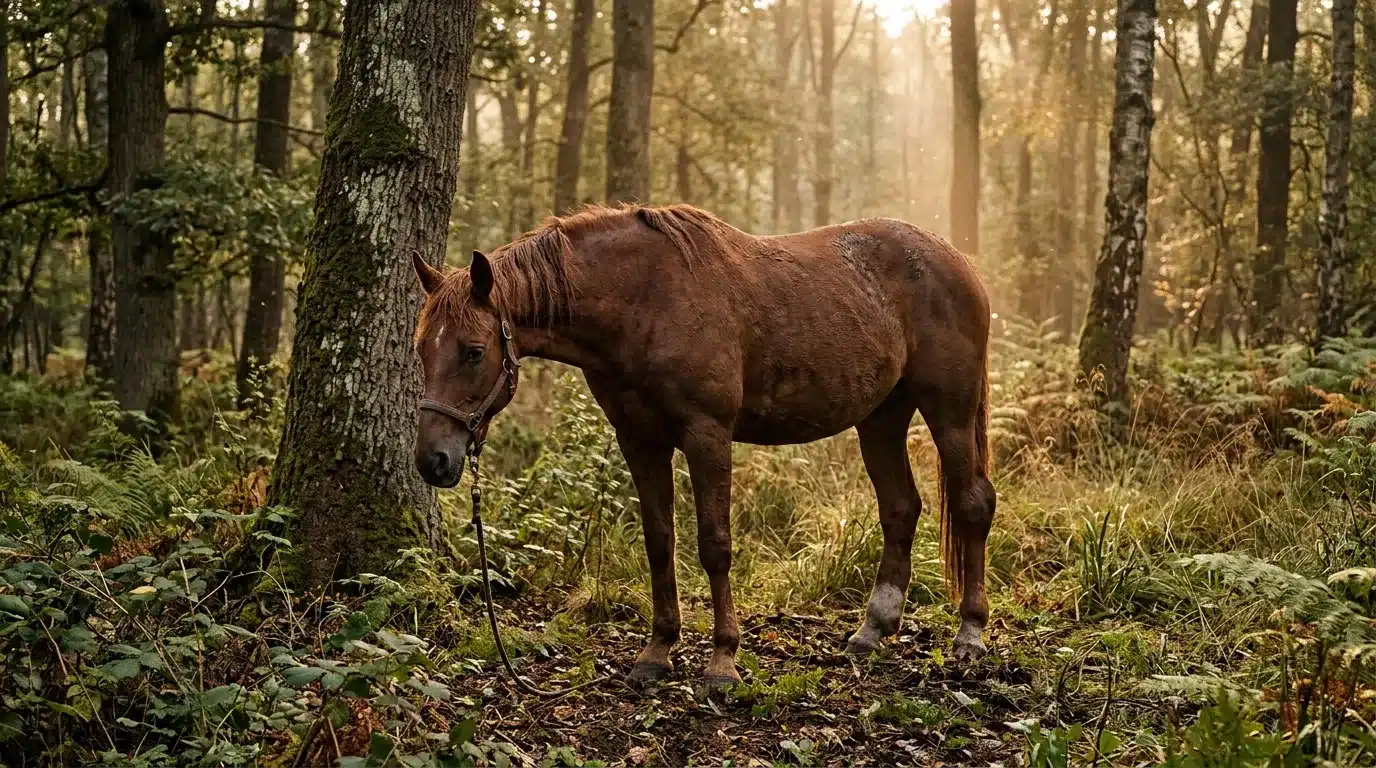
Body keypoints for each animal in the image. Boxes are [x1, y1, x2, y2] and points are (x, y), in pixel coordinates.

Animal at [410, 204, 995, 685]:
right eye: (421, 349)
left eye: (473, 351)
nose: (433, 461)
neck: (645, 302)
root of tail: (958, 260)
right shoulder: (639, 440)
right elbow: (659, 541)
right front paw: (657, 652)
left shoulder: (707, 434)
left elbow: (714, 545)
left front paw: (722, 662)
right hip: (881, 418)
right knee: (900, 508)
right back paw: (873, 629)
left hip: (949, 411)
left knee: (973, 504)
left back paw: (970, 633)